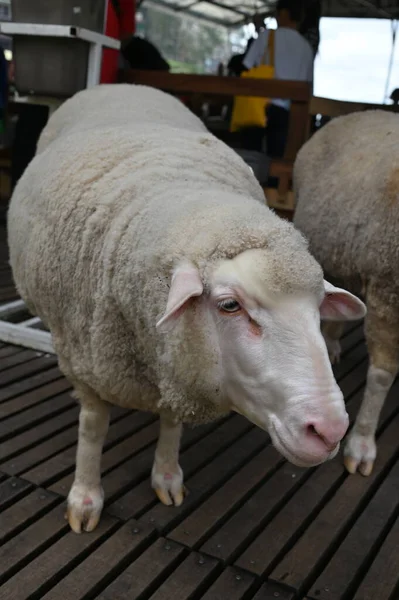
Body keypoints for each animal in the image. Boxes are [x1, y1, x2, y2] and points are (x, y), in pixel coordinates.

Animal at [7, 85, 368, 536]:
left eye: (318, 308)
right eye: (229, 305)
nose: (330, 430)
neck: (179, 195)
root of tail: (124, 86)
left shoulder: (177, 360)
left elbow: (171, 420)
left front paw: (166, 476)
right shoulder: (87, 362)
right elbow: (93, 428)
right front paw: (86, 498)